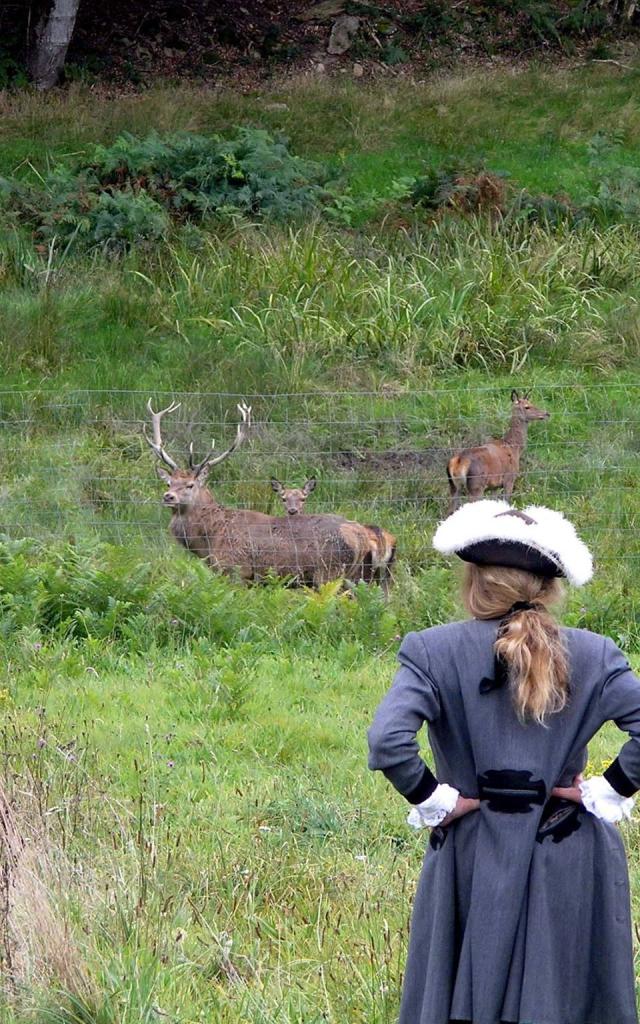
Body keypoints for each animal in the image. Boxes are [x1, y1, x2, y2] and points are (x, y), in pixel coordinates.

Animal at [144, 401, 395, 593]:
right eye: (168, 482)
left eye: (190, 484)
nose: (168, 497)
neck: (208, 541)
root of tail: (364, 536)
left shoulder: (236, 570)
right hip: (365, 576)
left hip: (331, 573)